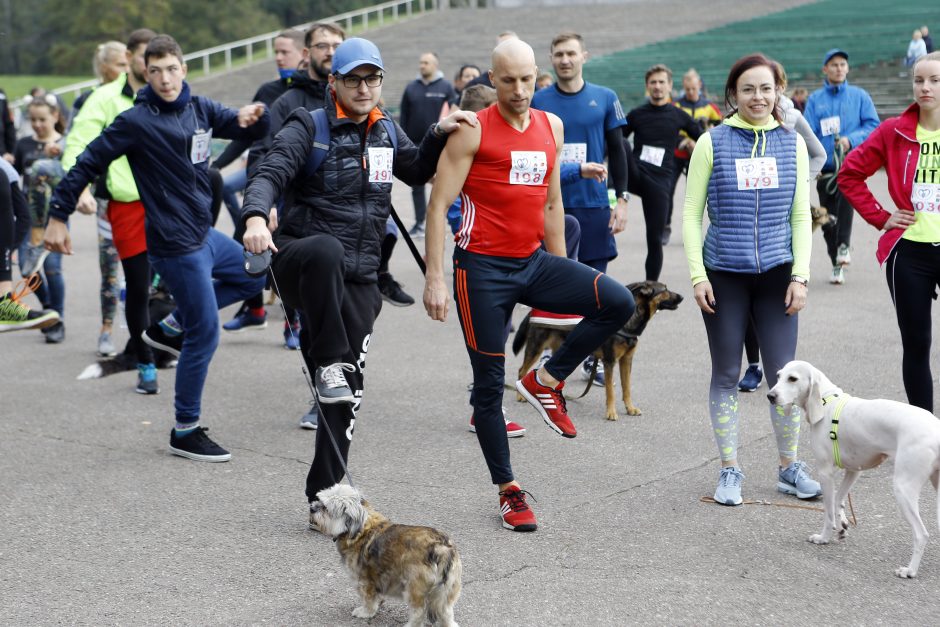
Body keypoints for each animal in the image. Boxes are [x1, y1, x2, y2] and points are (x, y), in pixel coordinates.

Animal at [312, 486, 462, 624]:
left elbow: (368, 600)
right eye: (319, 500)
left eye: (325, 508)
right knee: (446, 614)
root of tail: (440, 547)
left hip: (414, 589)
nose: (312, 508)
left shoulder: (365, 580)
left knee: (418, 613)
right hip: (446, 593)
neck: (359, 529)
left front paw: (365, 612)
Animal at [516, 280, 684, 420]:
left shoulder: (626, 360)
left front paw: (630, 408)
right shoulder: (610, 361)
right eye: (665, 289)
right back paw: (521, 396)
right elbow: (610, 391)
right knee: (521, 370)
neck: (631, 319)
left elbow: (627, 388)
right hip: (536, 347)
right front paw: (611, 412)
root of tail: (532, 311)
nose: (682, 297)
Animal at [768, 360, 940, 576]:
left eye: (792, 379)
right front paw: (842, 526)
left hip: (903, 489)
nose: (770, 396)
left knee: (921, 534)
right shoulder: (854, 470)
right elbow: (839, 500)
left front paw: (824, 537)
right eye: (778, 376)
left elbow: (828, 512)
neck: (825, 401)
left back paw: (909, 570)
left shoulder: (825, 473)